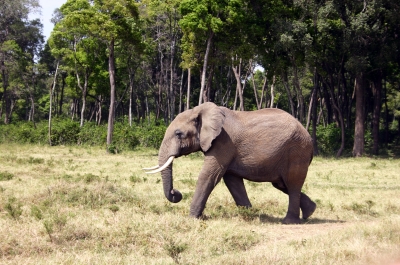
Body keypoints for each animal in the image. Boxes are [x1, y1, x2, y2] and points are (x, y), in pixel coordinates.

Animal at [144, 101, 316, 223]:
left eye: (179, 134)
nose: (176, 193)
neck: (199, 111)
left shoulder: (223, 142)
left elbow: (208, 176)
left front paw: (192, 219)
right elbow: (232, 181)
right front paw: (250, 215)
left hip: (297, 152)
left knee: (292, 184)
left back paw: (289, 221)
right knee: (281, 184)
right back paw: (310, 212)